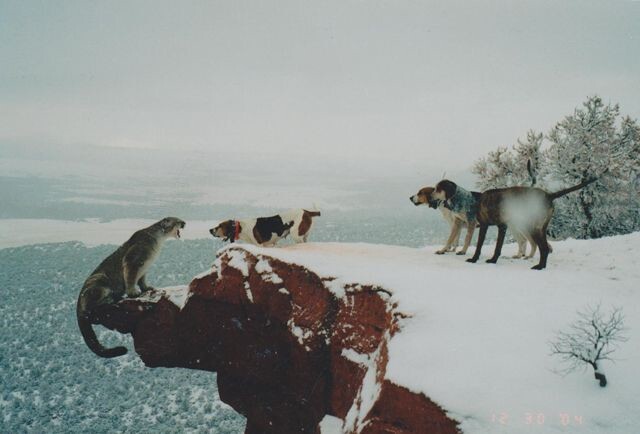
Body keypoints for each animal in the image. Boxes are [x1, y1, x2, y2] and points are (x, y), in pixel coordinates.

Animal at [468, 178, 596, 270]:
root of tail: (549, 195)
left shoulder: (489, 225)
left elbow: (482, 246)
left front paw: (476, 259)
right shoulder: (501, 226)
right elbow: (496, 247)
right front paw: (492, 260)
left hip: (532, 228)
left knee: (543, 248)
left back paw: (539, 267)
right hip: (540, 229)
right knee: (545, 248)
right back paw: (542, 266)